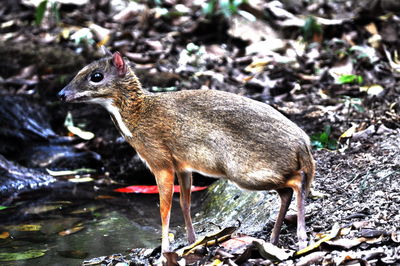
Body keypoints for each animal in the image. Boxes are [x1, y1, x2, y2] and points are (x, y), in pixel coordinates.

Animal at [58, 50, 316, 256]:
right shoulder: (183, 166)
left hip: (244, 172)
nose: (61, 94)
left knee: (296, 182)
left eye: (96, 76)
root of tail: (303, 144)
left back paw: (302, 237)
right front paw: (191, 242)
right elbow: (184, 202)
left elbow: (164, 208)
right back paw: (273, 238)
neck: (137, 116)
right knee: (286, 191)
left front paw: (165, 251)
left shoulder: (160, 161)